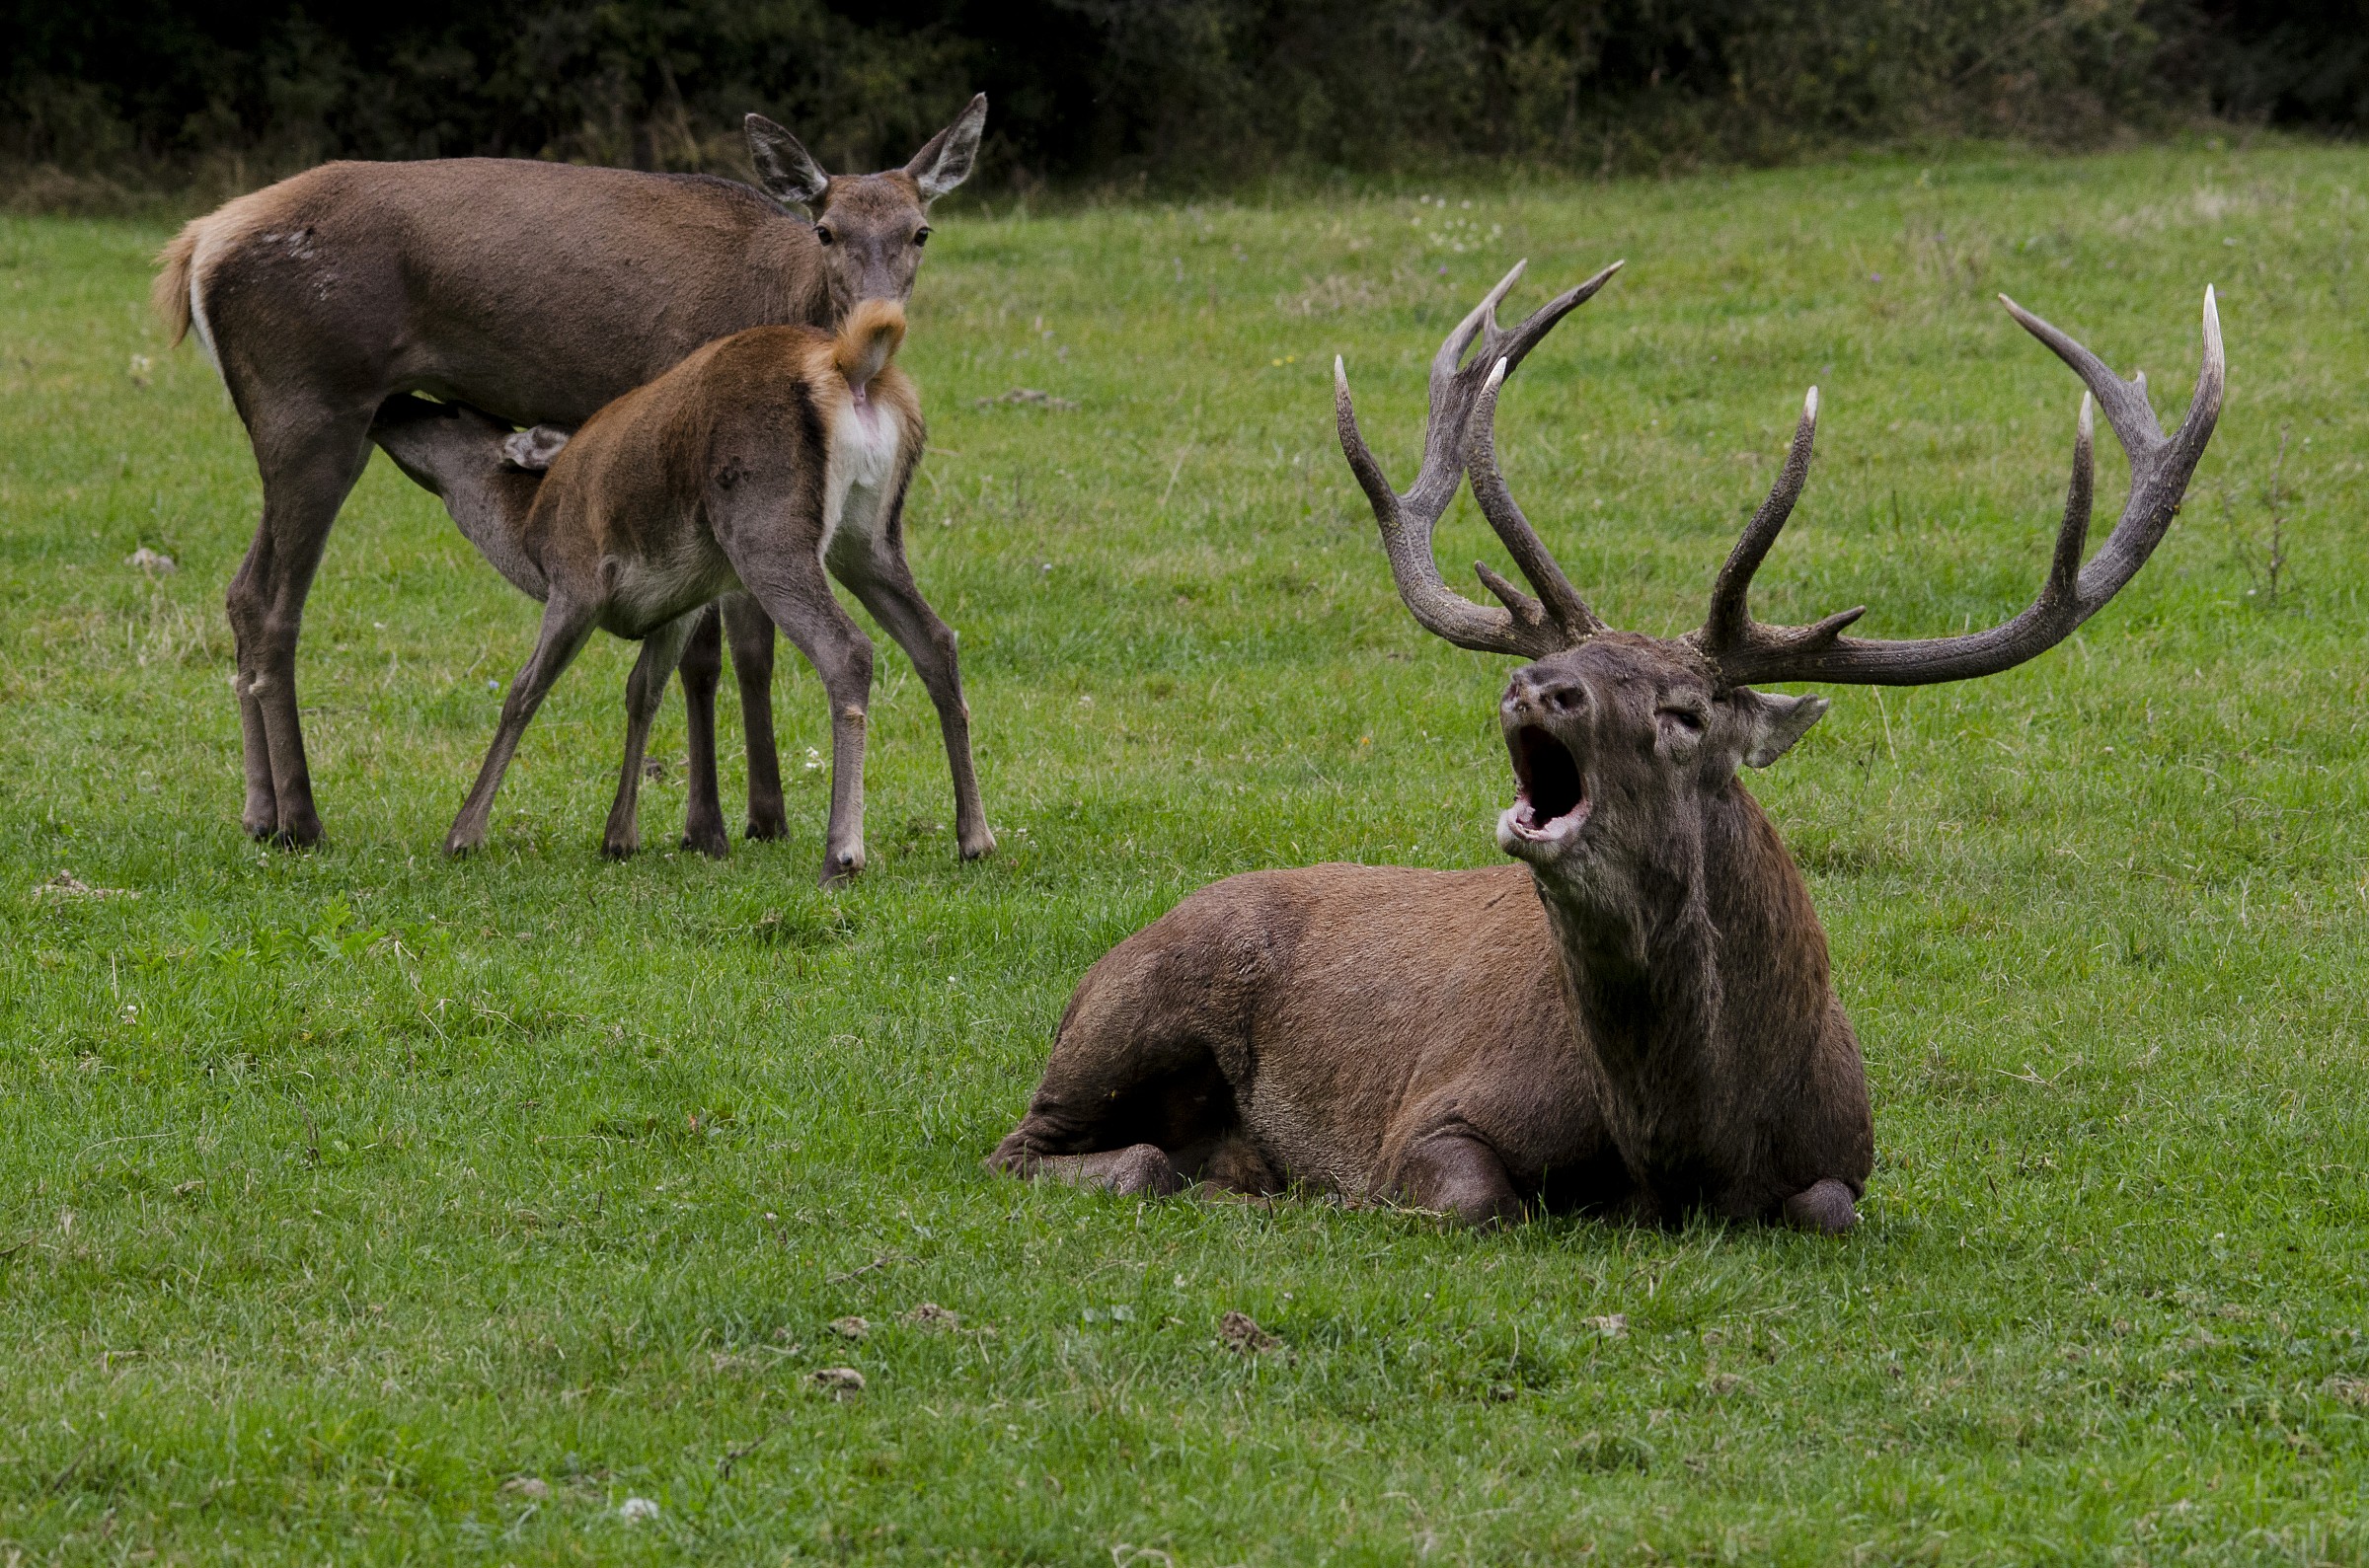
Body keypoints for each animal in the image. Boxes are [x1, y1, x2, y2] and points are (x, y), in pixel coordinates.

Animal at [364, 298, 989, 882]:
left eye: (450, 410)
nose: (386, 407)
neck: (528, 539)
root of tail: (853, 366)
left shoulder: (577, 581)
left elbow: (525, 690)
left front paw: (463, 834)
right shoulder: (682, 600)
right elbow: (642, 690)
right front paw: (619, 837)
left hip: (766, 530)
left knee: (848, 649)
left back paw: (843, 855)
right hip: (869, 537)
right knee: (936, 639)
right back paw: (975, 838)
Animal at [991, 262, 2224, 1233]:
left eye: (1685, 711)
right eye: (1570, 659)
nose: (1536, 682)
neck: (1681, 1143)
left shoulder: (1847, 1158)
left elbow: (1826, 1206)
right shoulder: (1426, 1117)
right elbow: (1471, 1196)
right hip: (1129, 1008)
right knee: (1038, 1147)